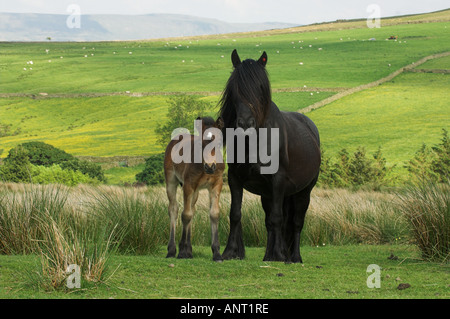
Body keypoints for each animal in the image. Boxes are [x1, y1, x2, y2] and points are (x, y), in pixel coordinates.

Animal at [219, 49, 320, 262]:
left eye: (260, 88)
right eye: (235, 87)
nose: (245, 124)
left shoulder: (278, 180)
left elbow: (277, 219)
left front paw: (279, 255)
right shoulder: (235, 178)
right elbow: (235, 213)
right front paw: (230, 251)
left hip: (303, 192)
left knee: (296, 222)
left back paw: (294, 257)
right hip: (269, 194)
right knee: (272, 222)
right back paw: (270, 255)